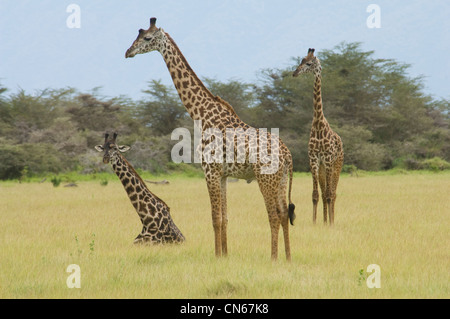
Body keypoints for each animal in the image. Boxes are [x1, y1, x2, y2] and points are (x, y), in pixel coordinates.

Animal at [125, 17, 296, 262]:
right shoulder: (222, 175)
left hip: (266, 178)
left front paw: (217, 256)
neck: (202, 114)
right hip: (280, 179)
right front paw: (225, 255)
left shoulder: (209, 171)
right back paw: (288, 258)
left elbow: (215, 218)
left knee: (273, 215)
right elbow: (224, 218)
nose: (128, 52)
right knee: (283, 214)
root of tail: (287, 155)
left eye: (147, 38)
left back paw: (273, 258)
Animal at [292, 48, 344, 226]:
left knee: (333, 193)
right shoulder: (314, 159)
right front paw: (315, 223)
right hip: (322, 168)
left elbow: (329, 194)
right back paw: (325, 220)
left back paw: (331, 221)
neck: (318, 125)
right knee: (324, 192)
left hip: (336, 165)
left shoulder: (327, 159)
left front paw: (330, 224)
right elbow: (315, 194)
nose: (294, 72)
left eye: (309, 63)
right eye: (300, 61)